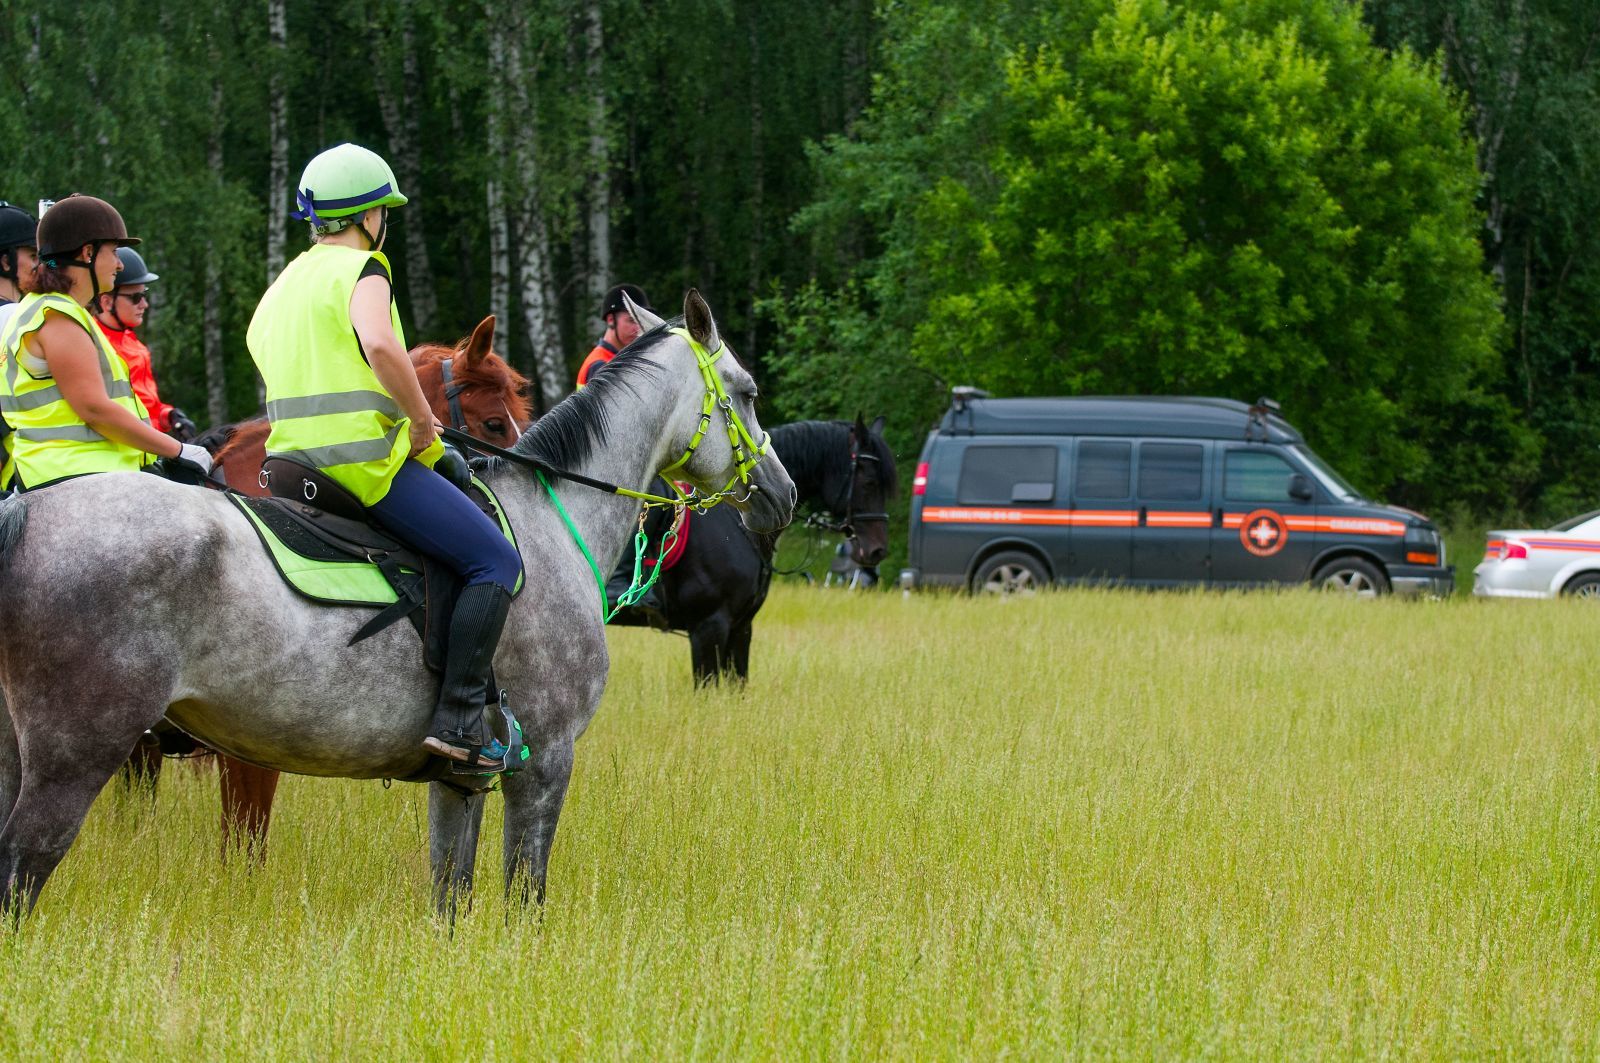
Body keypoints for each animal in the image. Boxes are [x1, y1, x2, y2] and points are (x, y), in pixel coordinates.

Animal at [0, 288, 796, 915]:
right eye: (748, 391)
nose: (782, 495)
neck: (551, 520)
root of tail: (28, 513)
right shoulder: (546, 763)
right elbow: (524, 896)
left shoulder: (460, 781)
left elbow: (452, 894)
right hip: (79, 753)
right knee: (22, 869)